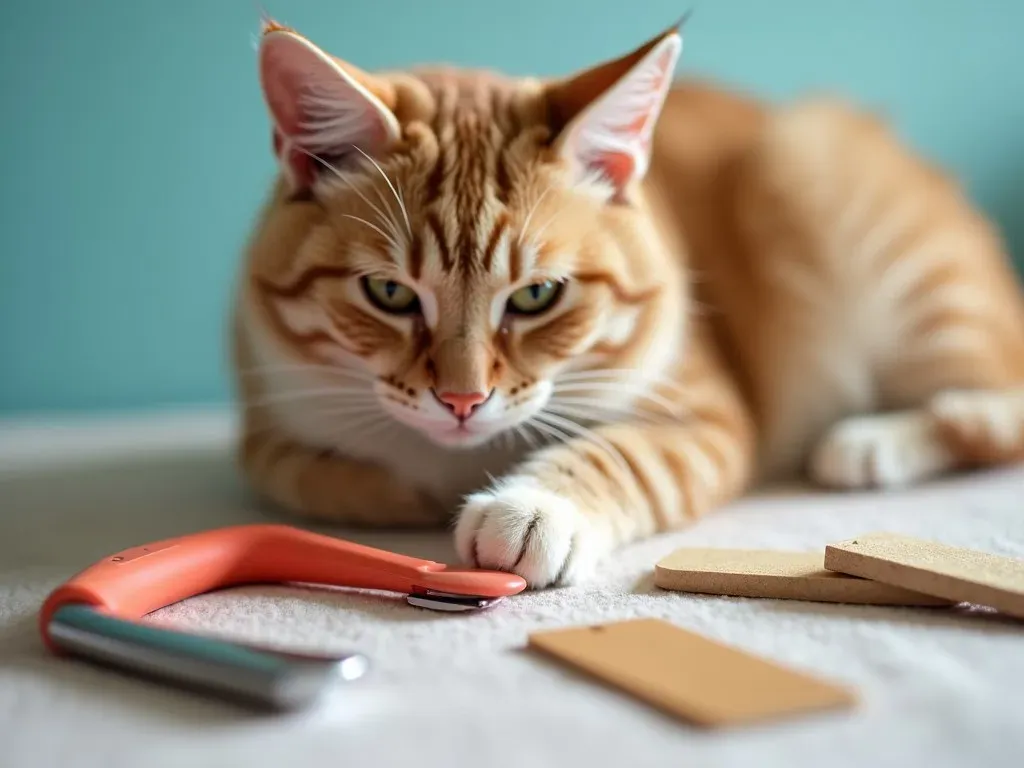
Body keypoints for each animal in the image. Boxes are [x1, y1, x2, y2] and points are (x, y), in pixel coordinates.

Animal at [232, 19, 1024, 589]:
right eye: (390, 293)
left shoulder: (704, 416)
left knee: (994, 406)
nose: (462, 401)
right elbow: (310, 478)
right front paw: (410, 491)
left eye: (537, 295)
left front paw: (531, 510)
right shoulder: (268, 432)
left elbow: (628, 457)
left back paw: (869, 442)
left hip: (837, 201)